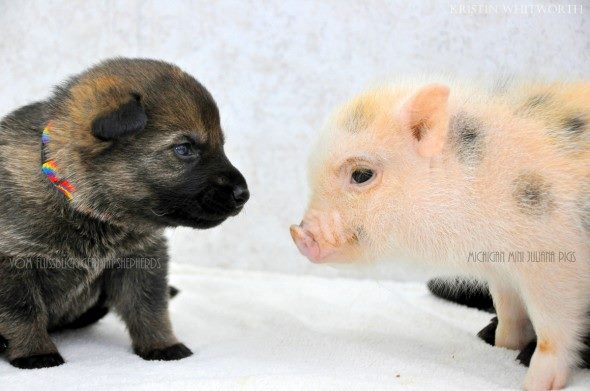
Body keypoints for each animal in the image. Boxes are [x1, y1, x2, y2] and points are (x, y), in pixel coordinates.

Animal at [0, 57, 250, 368]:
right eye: (184, 149)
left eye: (221, 146)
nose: (244, 194)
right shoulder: (13, 264)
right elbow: (23, 312)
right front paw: (36, 353)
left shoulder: (140, 259)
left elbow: (149, 307)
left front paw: (162, 345)